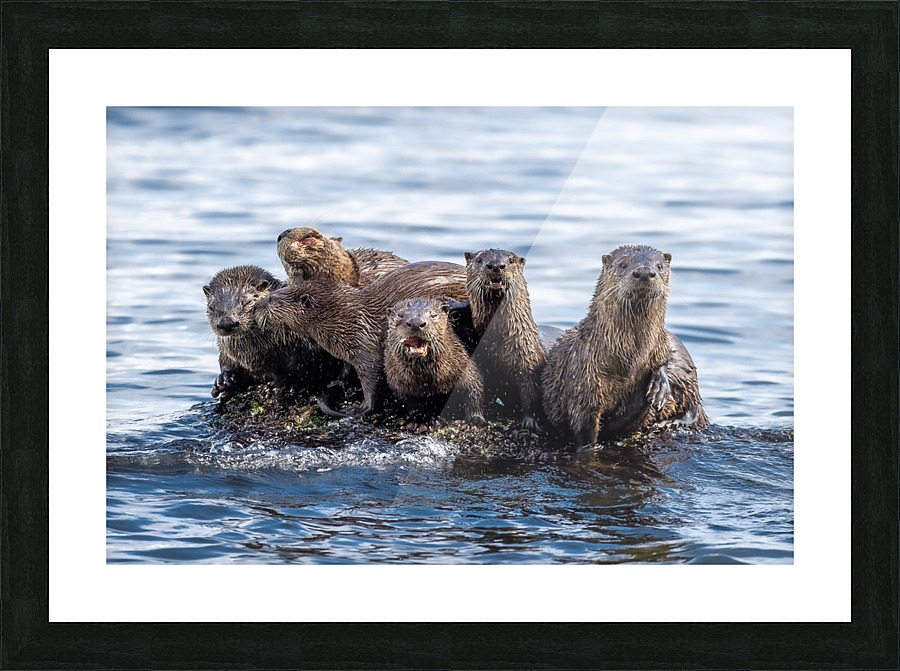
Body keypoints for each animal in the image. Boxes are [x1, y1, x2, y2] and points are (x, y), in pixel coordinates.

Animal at [203, 265, 340, 397]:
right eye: (212, 307)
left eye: (246, 302)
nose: (226, 322)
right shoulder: (228, 352)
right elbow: (226, 362)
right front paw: (224, 379)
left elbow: (310, 367)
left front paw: (285, 382)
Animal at [252, 262, 469, 418]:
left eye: (271, 299)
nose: (255, 306)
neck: (345, 319)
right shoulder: (350, 349)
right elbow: (347, 368)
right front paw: (337, 382)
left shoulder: (367, 347)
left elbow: (373, 380)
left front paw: (361, 408)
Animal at [384, 298, 485, 433]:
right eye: (400, 315)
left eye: (433, 315)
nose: (416, 322)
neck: (431, 381)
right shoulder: (399, 383)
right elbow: (412, 404)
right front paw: (420, 421)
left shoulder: (465, 366)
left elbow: (474, 389)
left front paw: (474, 421)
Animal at [463, 249, 546, 431]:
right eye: (479, 260)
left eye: (511, 260)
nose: (496, 265)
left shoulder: (528, 361)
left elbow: (531, 394)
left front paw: (529, 422)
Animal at [541, 245, 707, 446]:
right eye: (623, 264)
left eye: (659, 265)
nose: (644, 272)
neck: (628, 360)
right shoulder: (583, 382)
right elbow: (584, 428)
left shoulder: (660, 346)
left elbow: (662, 361)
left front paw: (659, 388)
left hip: (686, 373)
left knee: (694, 406)